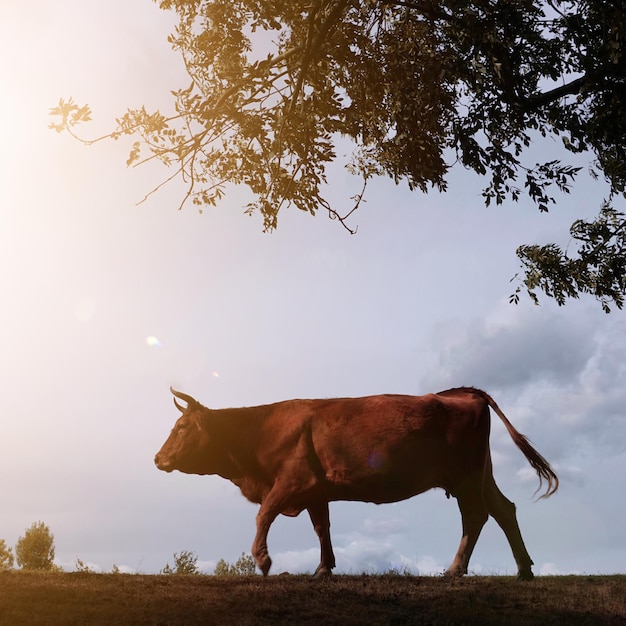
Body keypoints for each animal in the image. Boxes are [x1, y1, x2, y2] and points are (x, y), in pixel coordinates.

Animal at [152, 388, 556, 576]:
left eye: (183, 427)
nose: (157, 459)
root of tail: (459, 392)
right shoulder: (316, 490)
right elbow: (322, 527)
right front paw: (324, 567)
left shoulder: (293, 480)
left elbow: (264, 514)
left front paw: (263, 560)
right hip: (480, 475)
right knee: (504, 510)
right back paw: (523, 569)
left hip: (466, 477)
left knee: (476, 517)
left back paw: (456, 569)